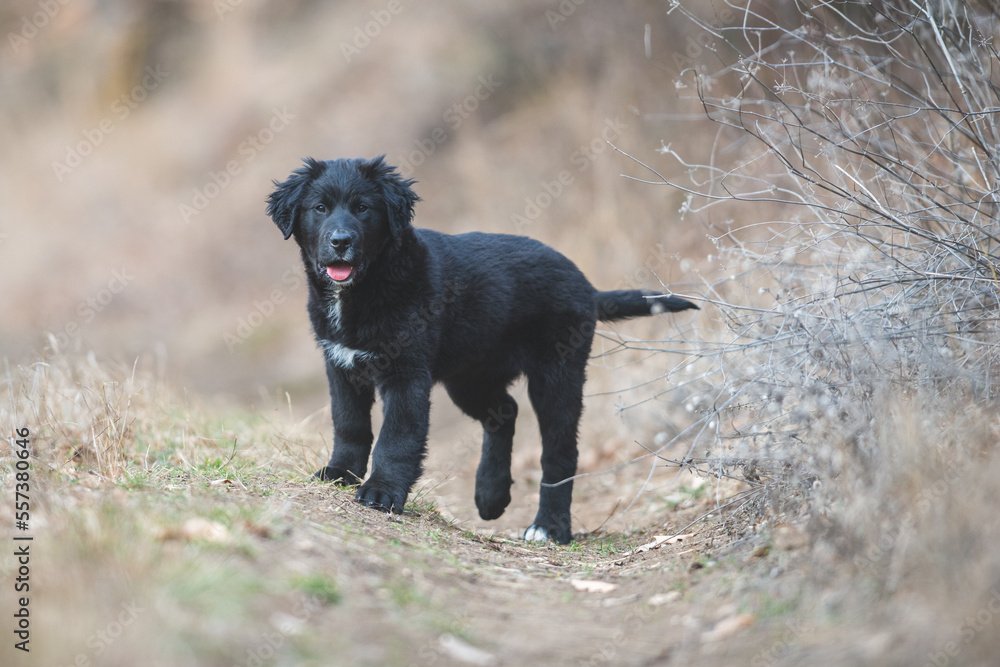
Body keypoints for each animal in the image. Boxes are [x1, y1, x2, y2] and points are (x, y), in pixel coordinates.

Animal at [266, 159, 696, 544]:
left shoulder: (406, 374)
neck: (366, 289)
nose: (340, 242)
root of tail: (588, 288)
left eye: (363, 208)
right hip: (470, 377)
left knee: (559, 451)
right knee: (505, 412)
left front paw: (382, 491)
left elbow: (397, 436)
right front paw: (340, 474)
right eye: (320, 208)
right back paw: (491, 495)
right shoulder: (340, 365)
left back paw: (550, 528)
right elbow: (349, 424)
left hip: (556, 373)